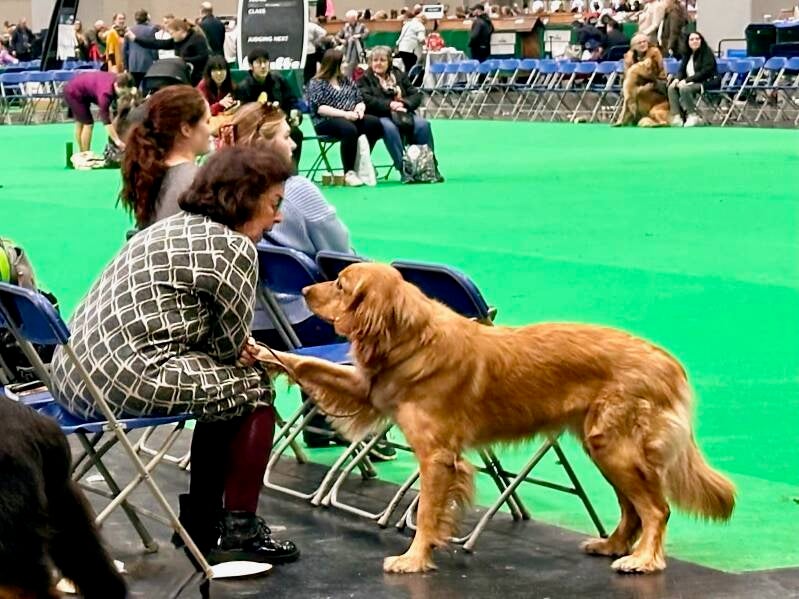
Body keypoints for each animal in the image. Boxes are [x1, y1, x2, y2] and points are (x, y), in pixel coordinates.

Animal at [254, 262, 735, 575]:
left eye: (339, 283)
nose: (305, 292)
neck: (410, 340)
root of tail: (668, 361)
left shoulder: (436, 457)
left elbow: (427, 513)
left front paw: (414, 559)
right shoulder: (364, 387)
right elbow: (309, 364)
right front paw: (263, 352)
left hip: (615, 447)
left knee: (655, 508)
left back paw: (643, 560)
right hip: (604, 448)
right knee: (633, 509)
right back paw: (612, 546)